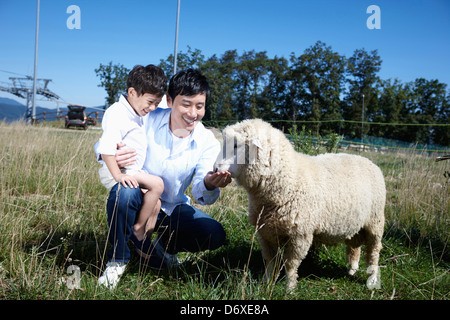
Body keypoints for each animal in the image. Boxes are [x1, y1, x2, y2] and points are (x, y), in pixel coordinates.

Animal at [215, 119, 386, 292]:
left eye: (236, 145)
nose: (216, 168)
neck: (288, 179)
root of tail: (367, 160)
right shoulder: (266, 231)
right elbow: (270, 261)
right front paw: (266, 283)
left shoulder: (300, 234)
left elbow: (291, 264)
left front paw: (289, 288)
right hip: (356, 223)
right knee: (354, 246)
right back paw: (352, 269)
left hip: (375, 222)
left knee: (374, 251)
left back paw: (372, 279)